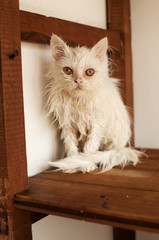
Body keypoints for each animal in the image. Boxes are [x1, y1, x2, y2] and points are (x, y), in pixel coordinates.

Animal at [46, 33, 142, 172]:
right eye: (67, 70)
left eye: (89, 72)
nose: (78, 81)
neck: (78, 101)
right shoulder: (68, 126)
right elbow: (71, 147)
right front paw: (73, 165)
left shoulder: (97, 124)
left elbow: (89, 148)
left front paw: (86, 164)